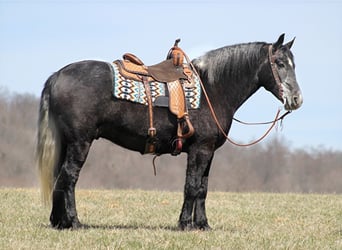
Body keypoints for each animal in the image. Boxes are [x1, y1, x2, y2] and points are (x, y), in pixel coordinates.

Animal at [37, 34, 304, 229]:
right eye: (280, 63)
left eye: (294, 64)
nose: (296, 99)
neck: (213, 88)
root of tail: (57, 75)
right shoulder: (200, 150)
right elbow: (192, 186)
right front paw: (185, 224)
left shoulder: (209, 152)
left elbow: (203, 188)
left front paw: (203, 225)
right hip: (80, 142)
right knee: (69, 177)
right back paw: (73, 222)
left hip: (66, 143)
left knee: (59, 176)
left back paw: (59, 222)